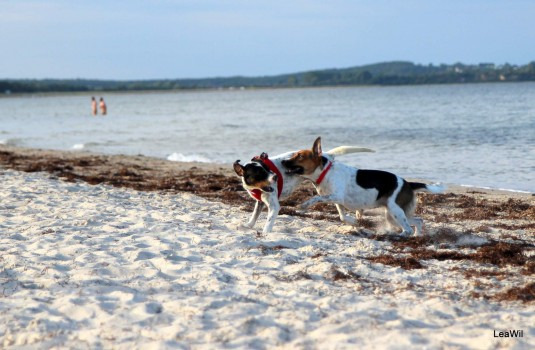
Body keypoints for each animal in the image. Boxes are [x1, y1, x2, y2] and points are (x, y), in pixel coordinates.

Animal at [232, 144, 374, 234]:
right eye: (259, 174)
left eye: (268, 169)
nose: (276, 177)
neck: (256, 188)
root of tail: (326, 154)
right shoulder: (260, 202)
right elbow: (254, 216)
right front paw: (248, 226)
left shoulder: (273, 206)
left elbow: (269, 221)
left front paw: (265, 233)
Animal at [280, 137, 444, 235]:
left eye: (300, 156)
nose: (283, 162)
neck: (325, 172)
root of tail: (408, 183)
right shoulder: (337, 200)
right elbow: (342, 216)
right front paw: (354, 221)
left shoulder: (336, 196)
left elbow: (315, 199)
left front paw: (304, 205)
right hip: (393, 213)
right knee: (418, 221)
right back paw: (417, 235)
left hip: (395, 210)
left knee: (408, 229)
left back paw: (399, 235)